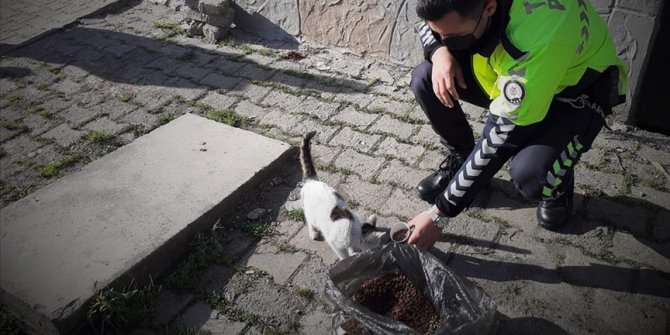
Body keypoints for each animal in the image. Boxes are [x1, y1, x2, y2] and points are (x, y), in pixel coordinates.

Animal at [300, 131, 388, 260]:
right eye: (376, 247)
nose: (379, 252)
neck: (354, 232)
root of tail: (313, 180)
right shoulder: (335, 244)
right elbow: (343, 255)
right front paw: (347, 259)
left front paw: (354, 252)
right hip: (310, 212)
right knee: (310, 221)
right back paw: (313, 233)